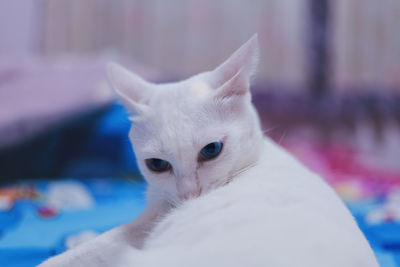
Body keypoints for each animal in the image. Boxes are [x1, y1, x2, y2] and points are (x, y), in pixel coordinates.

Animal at [38, 35, 378, 267]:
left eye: (211, 150)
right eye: (157, 164)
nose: (190, 194)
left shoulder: (142, 228)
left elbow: (83, 252)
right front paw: (77, 239)